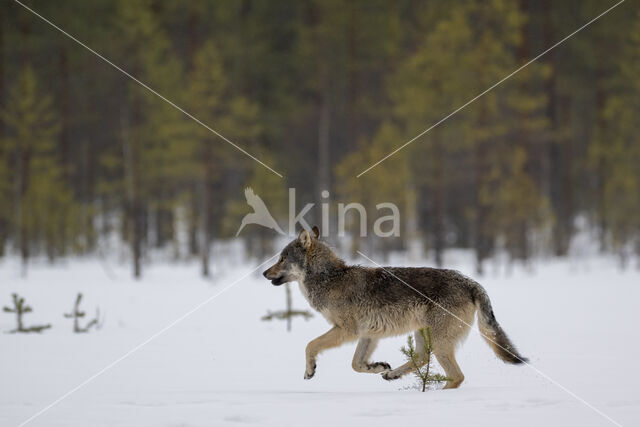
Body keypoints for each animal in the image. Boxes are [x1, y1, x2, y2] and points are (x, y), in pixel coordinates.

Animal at [262, 229, 528, 390]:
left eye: (282, 258)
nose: (264, 273)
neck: (330, 279)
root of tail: (470, 282)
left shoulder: (347, 331)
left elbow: (310, 345)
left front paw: (310, 370)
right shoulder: (368, 334)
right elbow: (356, 365)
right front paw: (378, 367)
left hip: (439, 343)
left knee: (456, 376)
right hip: (423, 334)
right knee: (422, 358)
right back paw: (394, 375)